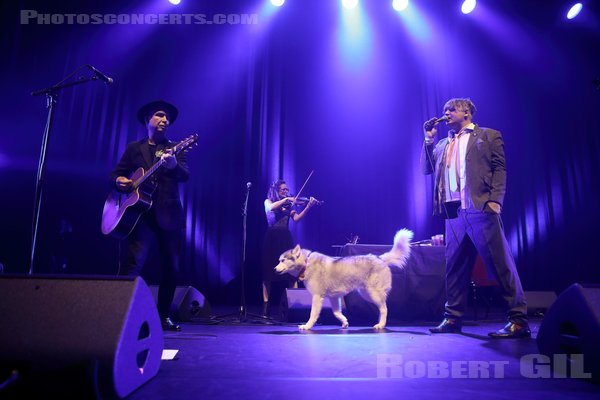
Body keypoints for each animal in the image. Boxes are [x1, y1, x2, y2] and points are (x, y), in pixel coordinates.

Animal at [276, 230, 412, 330]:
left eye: (282, 260)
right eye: (279, 261)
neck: (306, 263)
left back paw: (381, 324)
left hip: (372, 293)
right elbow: (336, 313)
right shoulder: (334, 297)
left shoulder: (316, 296)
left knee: (384, 309)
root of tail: (379, 258)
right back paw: (380, 322)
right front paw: (345, 322)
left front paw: (307, 326)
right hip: (367, 293)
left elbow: (313, 314)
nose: (274, 269)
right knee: (382, 308)